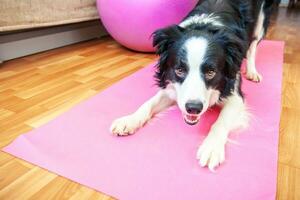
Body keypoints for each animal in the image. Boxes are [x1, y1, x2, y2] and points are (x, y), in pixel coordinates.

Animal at [110, 0, 274, 170]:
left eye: (211, 72)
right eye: (180, 70)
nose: (193, 108)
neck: (204, 26)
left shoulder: (235, 93)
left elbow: (220, 122)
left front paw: (211, 148)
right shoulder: (172, 86)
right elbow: (148, 104)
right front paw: (129, 120)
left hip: (261, 20)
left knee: (253, 46)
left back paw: (252, 71)